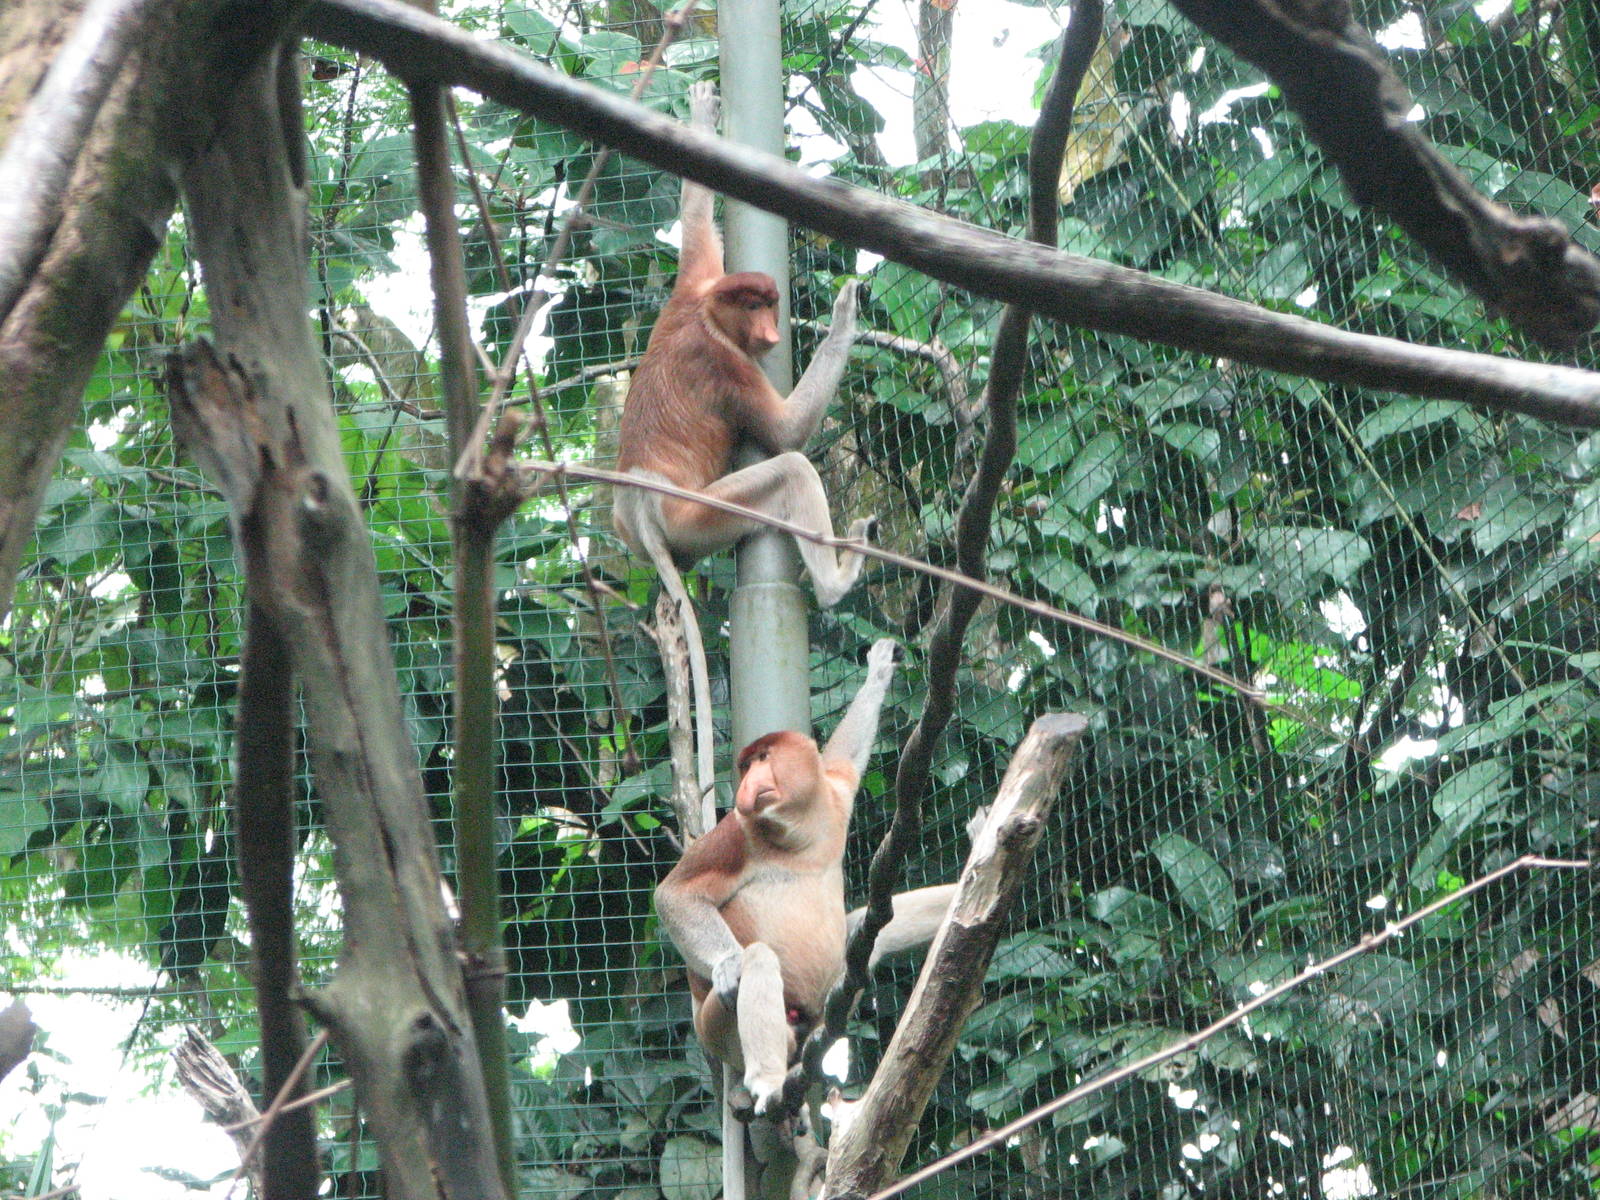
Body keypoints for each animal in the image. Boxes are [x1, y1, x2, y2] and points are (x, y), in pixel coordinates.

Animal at [612, 80, 874, 808]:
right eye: (752, 306)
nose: (769, 329)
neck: (707, 315)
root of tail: (643, 496)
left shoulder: (695, 283)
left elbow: (699, 227)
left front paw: (702, 112)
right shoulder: (728, 365)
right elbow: (786, 434)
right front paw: (844, 312)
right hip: (701, 514)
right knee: (789, 468)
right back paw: (837, 580)